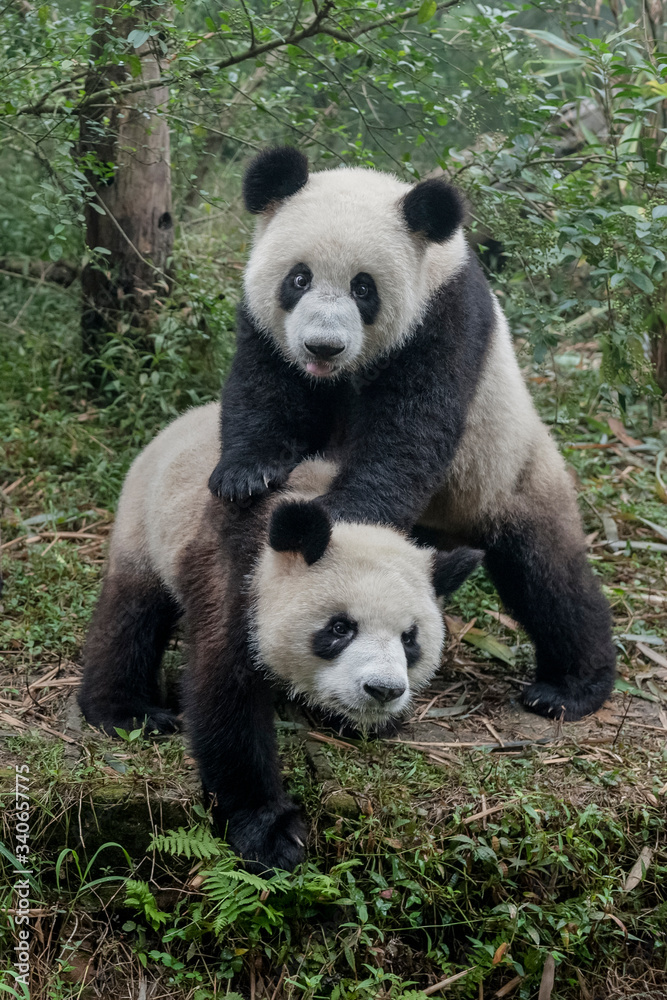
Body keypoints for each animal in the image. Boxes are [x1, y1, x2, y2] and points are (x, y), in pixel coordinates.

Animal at [78, 402, 481, 871]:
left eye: (409, 639)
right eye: (339, 628)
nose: (382, 690)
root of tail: (193, 414)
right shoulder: (238, 578)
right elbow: (227, 699)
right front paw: (269, 833)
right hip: (148, 520)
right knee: (132, 614)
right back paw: (127, 712)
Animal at [207, 147, 616, 723]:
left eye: (364, 287)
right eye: (298, 279)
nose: (323, 346)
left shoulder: (443, 318)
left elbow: (409, 433)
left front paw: (343, 517)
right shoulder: (266, 325)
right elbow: (263, 388)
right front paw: (246, 475)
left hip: (509, 471)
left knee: (550, 578)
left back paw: (570, 687)